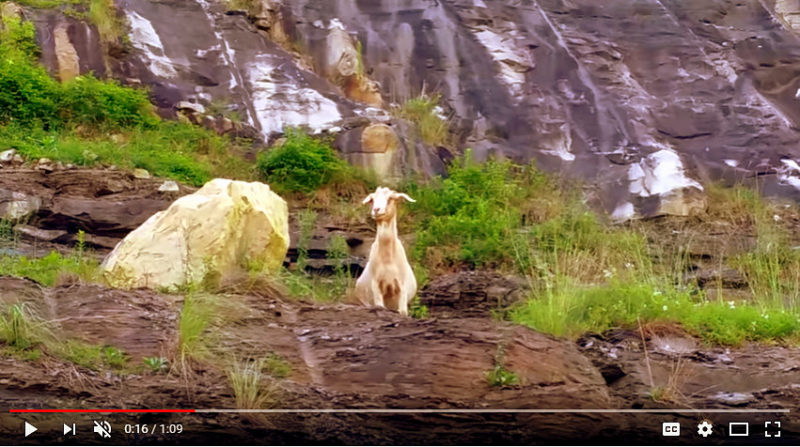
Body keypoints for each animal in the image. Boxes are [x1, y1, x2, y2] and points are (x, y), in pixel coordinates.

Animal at [354, 186, 416, 315]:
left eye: (390, 198)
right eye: (372, 199)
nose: (376, 210)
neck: (388, 260)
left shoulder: (402, 286)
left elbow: (403, 312)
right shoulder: (376, 285)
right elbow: (379, 306)